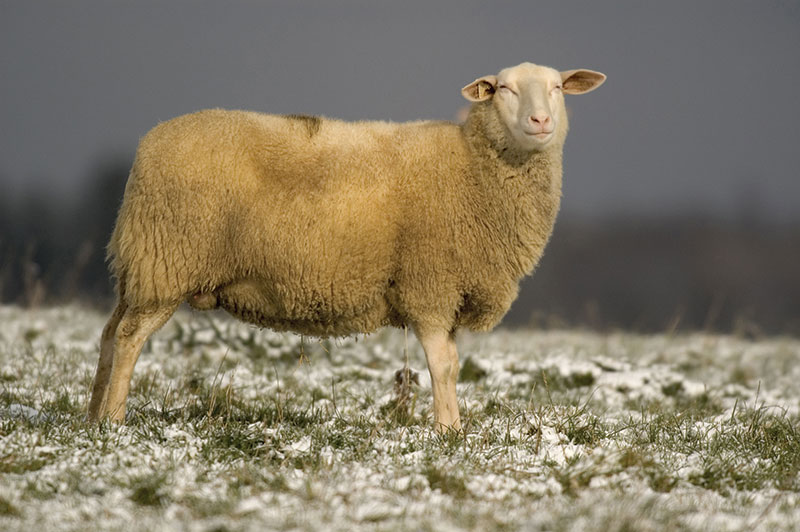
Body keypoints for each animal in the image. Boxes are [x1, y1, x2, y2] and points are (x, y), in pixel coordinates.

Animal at [87, 62, 606, 432]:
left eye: (557, 87)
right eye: (503, 89)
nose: (540, 120)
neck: (474, 167)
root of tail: (150, 143)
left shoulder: (449, 292)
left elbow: (452, 366)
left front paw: (454, 428)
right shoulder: (429, 286)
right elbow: (443, 366)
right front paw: (447, 434)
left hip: (141, 268)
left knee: (110, 334)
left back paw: (91, 417)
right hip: (167, 261)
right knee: (130, 338)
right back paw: (114, 420)